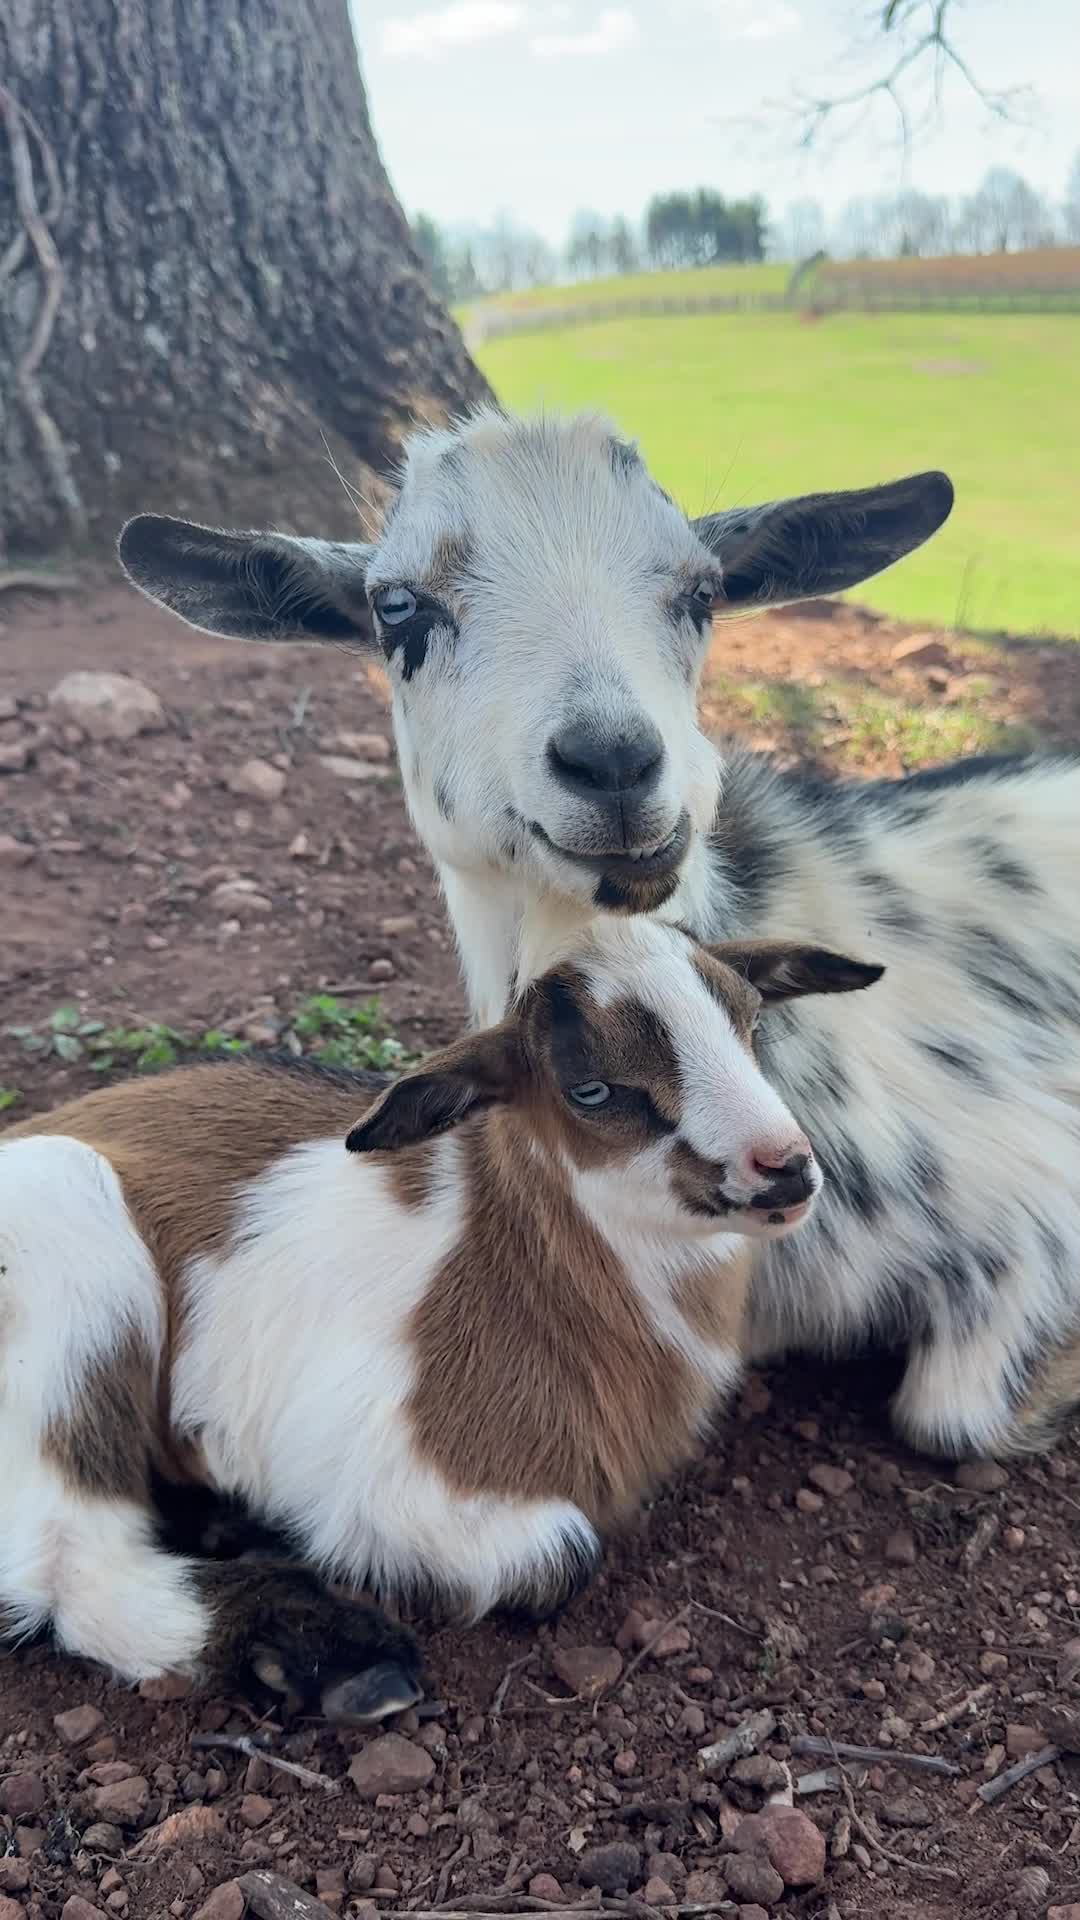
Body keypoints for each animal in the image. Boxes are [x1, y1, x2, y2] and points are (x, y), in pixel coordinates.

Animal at [0, 920, 879, 1700]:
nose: (785, 1167)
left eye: (750, 1022)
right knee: (78, 1567)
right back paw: (333, 1657)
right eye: (591, 1089)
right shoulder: (384, 1479)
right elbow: (562, 1555)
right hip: (67, 1251)